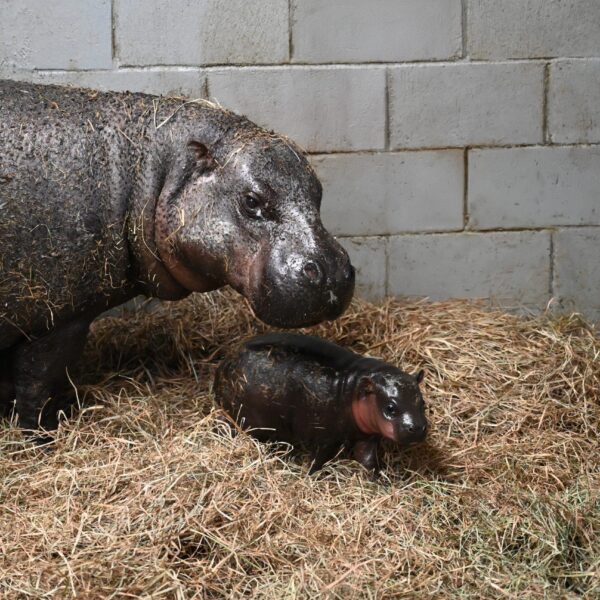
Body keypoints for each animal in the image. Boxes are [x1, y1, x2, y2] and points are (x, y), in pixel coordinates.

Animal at [0, 81, 354, 432]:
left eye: (319, 191)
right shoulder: (57, 321)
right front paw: (42, 433)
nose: (334, 271)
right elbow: (37, 384)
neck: (147, 170)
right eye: (252, 201)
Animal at [213, 332, 428, 474]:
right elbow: (318, 459)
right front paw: (310, 475)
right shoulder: (326, 437)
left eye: (423, 403)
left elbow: (367, 458)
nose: (417, 427)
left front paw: (379, 478)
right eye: (390, 408)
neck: (355, 389)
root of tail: (225, 362)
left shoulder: (367, 436)